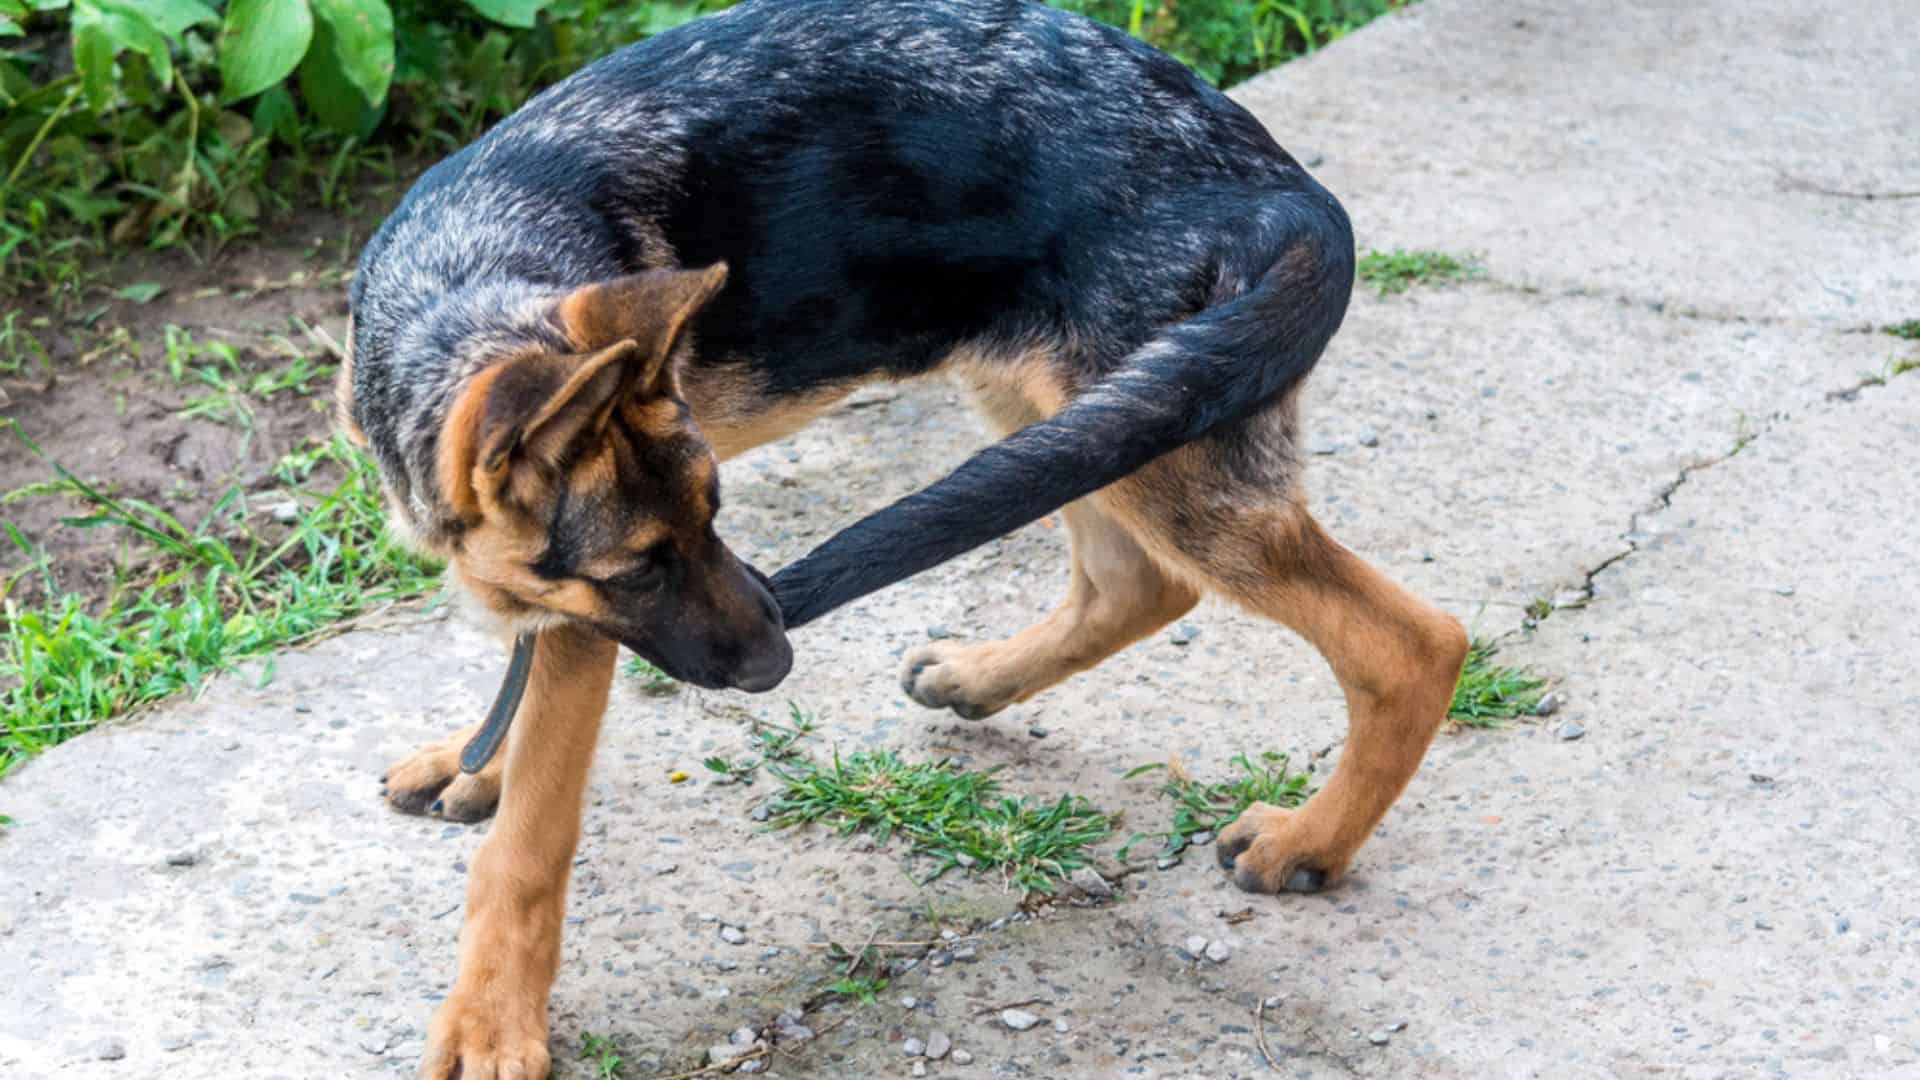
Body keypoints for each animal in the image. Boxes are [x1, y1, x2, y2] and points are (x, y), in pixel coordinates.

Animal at [345, 4, 1459, 1068]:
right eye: (645, 564)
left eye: (716, 514)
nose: (780, 661)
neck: (465, 280)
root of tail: (1286, 190)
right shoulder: (562, 595)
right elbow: (519, 687)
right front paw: (476, 762)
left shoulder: (582, 627)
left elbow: (528, 842)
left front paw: (492, 1024)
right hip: (1080, 413)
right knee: (1136, 584)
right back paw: (982, 678)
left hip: (1160, 438)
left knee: (1413, 644)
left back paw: (1310, 842)